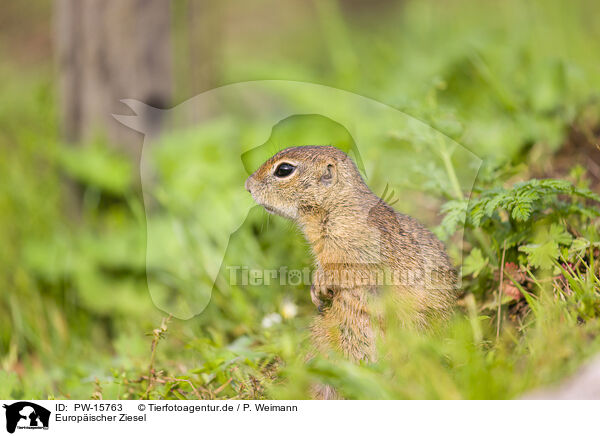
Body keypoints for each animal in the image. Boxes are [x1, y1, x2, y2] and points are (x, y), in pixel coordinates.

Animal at [244, 146, 454, 396]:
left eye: (284, 169)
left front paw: (321, 287)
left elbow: (345, 271)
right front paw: (316, 291)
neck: (337, 205)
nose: (247, 185)